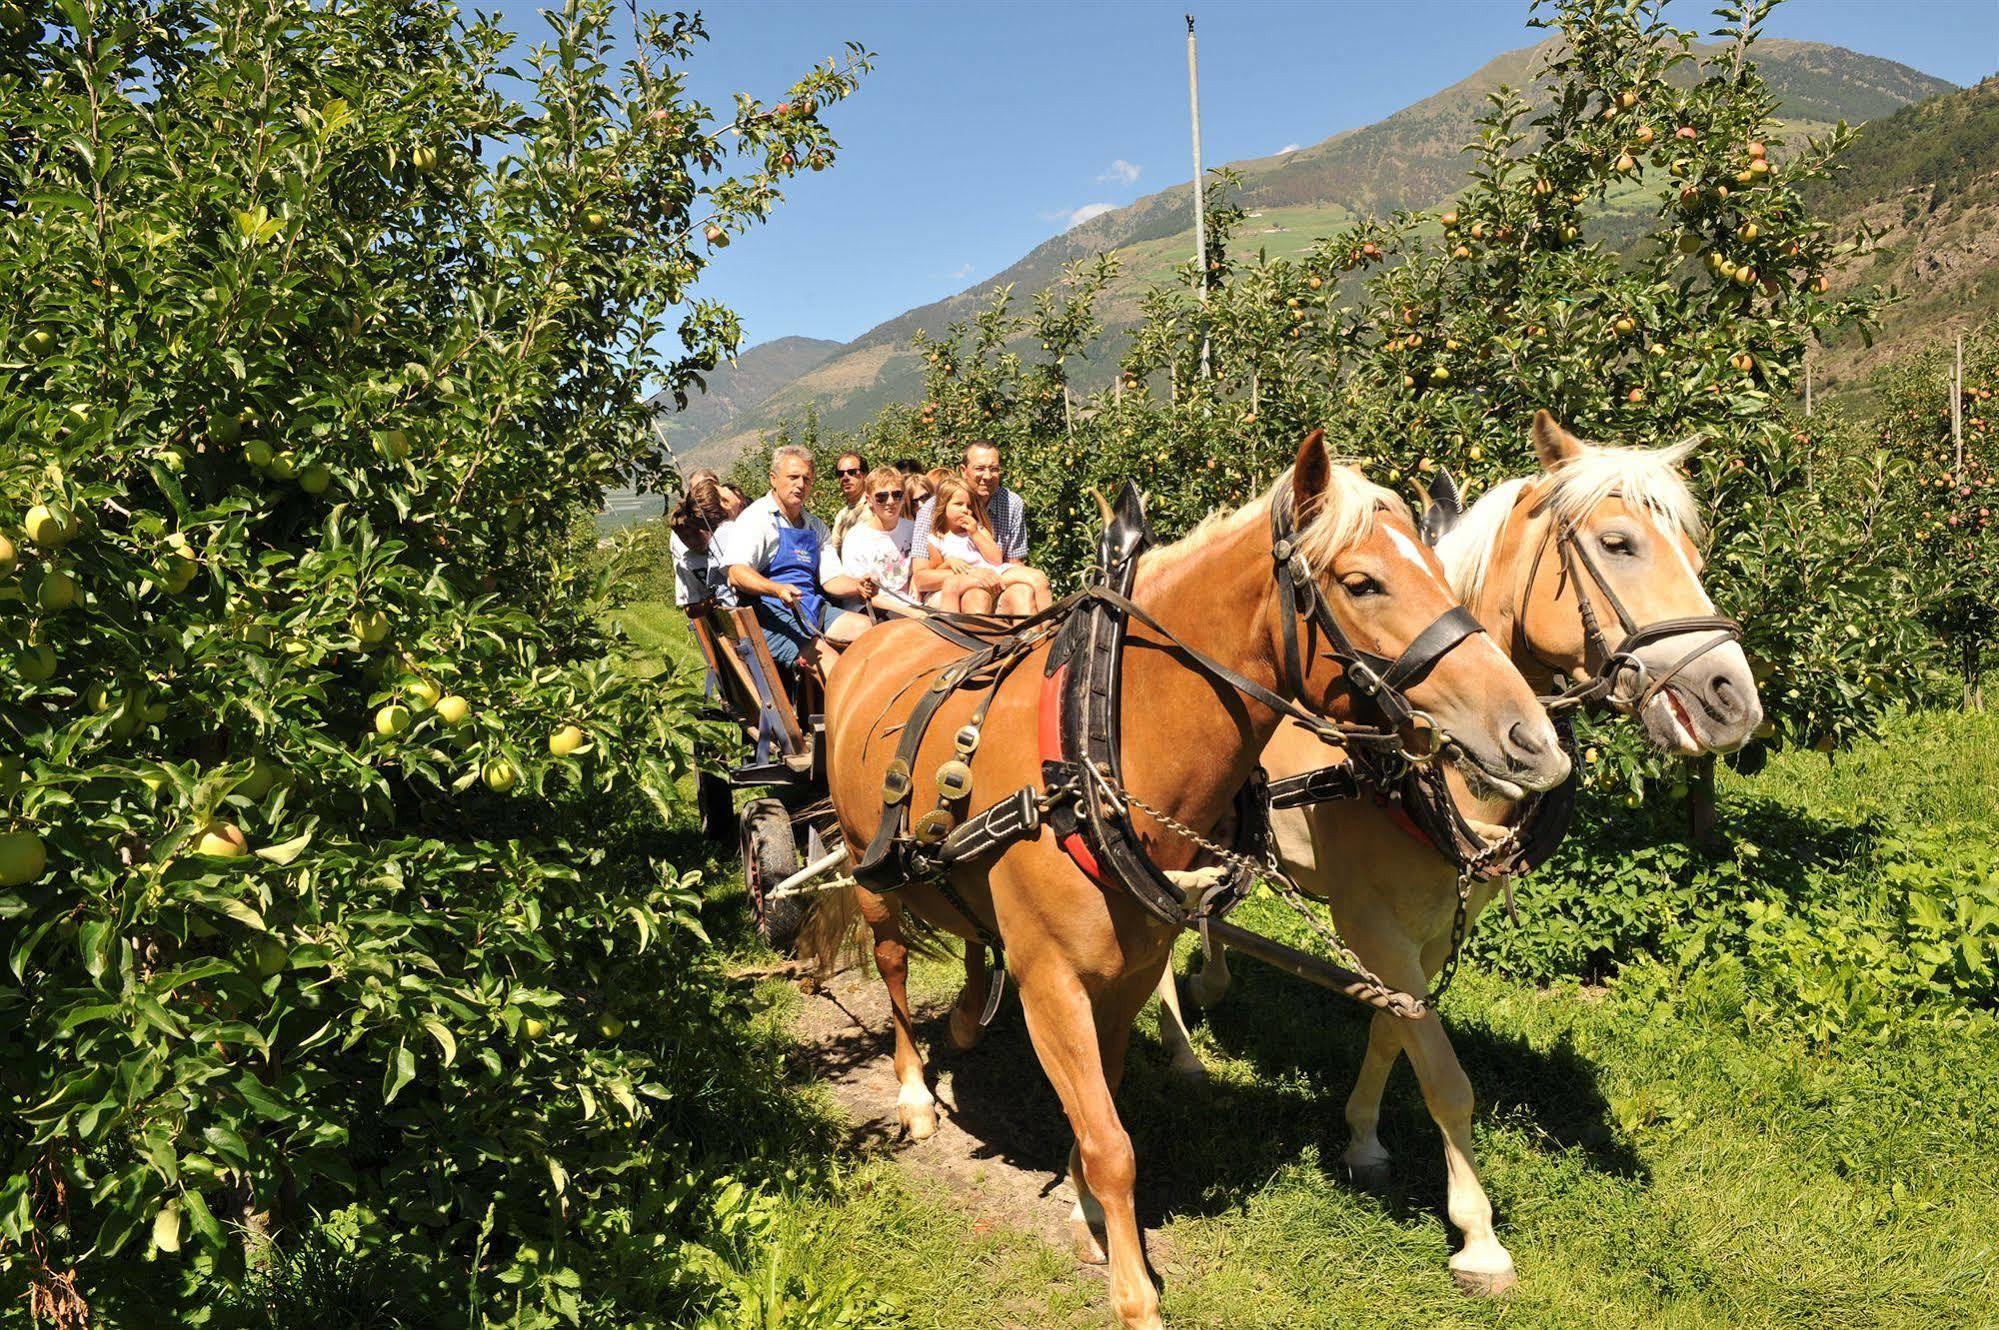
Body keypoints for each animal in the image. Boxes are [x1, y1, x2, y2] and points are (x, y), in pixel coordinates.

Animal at [815, 434, 1575, 1328]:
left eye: (1438, 565)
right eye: (1361, 582)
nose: (1529, 738)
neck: (1095, 743)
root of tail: (876, 634)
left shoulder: (1128, 966)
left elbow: (1104, 1103)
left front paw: (1085, 1205)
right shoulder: (1053, 984)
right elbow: (1112, 1141)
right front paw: (1133, 1294)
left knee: (971, 933)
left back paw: (968, 1018)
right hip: (868, 869)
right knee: (893, 964)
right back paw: (912, 1093)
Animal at [1159, 410, 1767, 1288]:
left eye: (1696, 550)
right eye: (1618, 543)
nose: (1732, 700)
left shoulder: (1437, 922)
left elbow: (1394, 1030)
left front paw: (1364, 1140)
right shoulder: (1370, 921)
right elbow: (1443, 1075)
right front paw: (1476, 1235)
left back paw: (1210, 980)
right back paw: (1179, 1051)